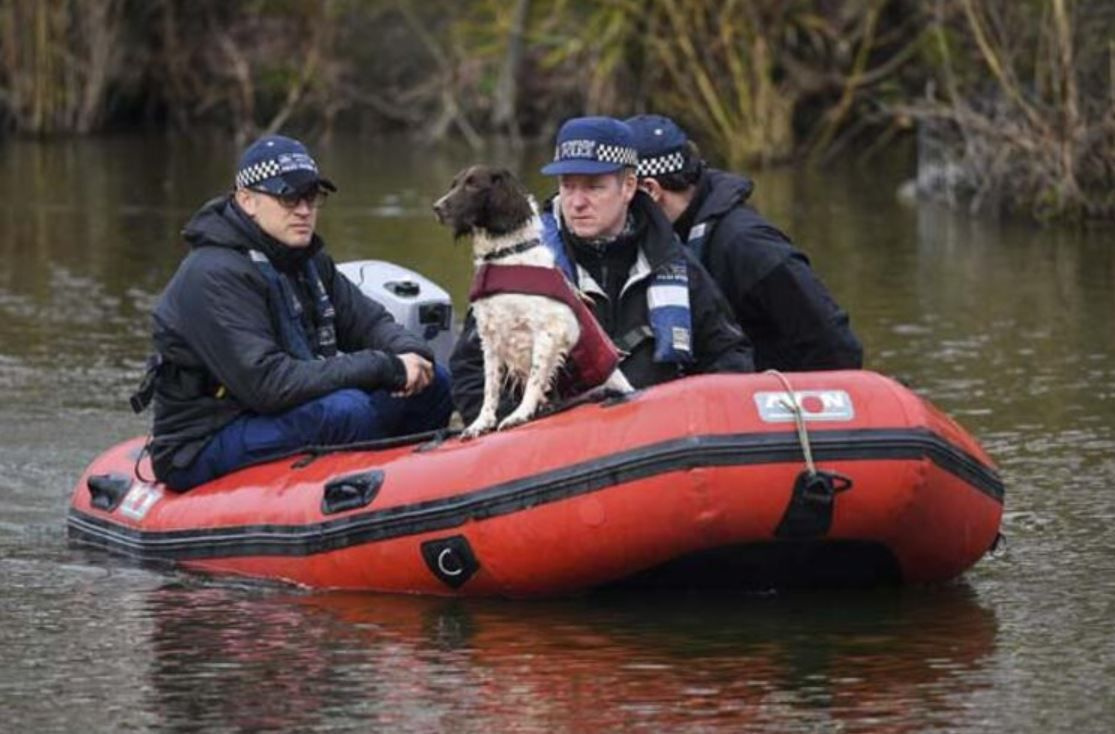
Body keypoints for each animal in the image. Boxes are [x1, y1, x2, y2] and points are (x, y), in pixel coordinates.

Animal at [430, 163, 633, 435]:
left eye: (473, 185)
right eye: (455, 184)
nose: (437, 207)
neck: (505, 257)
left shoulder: (550, 331)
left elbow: (535, 380)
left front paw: (520, 414)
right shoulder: (490, 337)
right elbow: (490, 388)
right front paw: (481, 423)